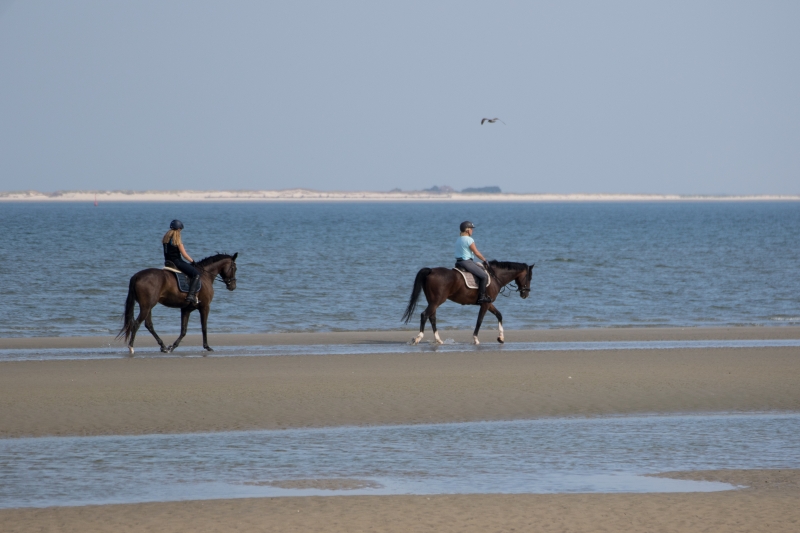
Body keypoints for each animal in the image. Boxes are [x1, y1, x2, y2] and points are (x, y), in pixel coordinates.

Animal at [404, 258, 536, 342]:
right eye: (529, 277)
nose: (526, 294)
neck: (495, 276)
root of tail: (431, 270)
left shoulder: (489, 303)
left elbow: (499, 315)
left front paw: (501, 338)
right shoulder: (485, 304)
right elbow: (479, 320)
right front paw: (476, 339)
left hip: (433, 302)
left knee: (432, 317)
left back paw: (438, 340)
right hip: (436, 301)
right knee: (425, 315)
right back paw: (418, 337)